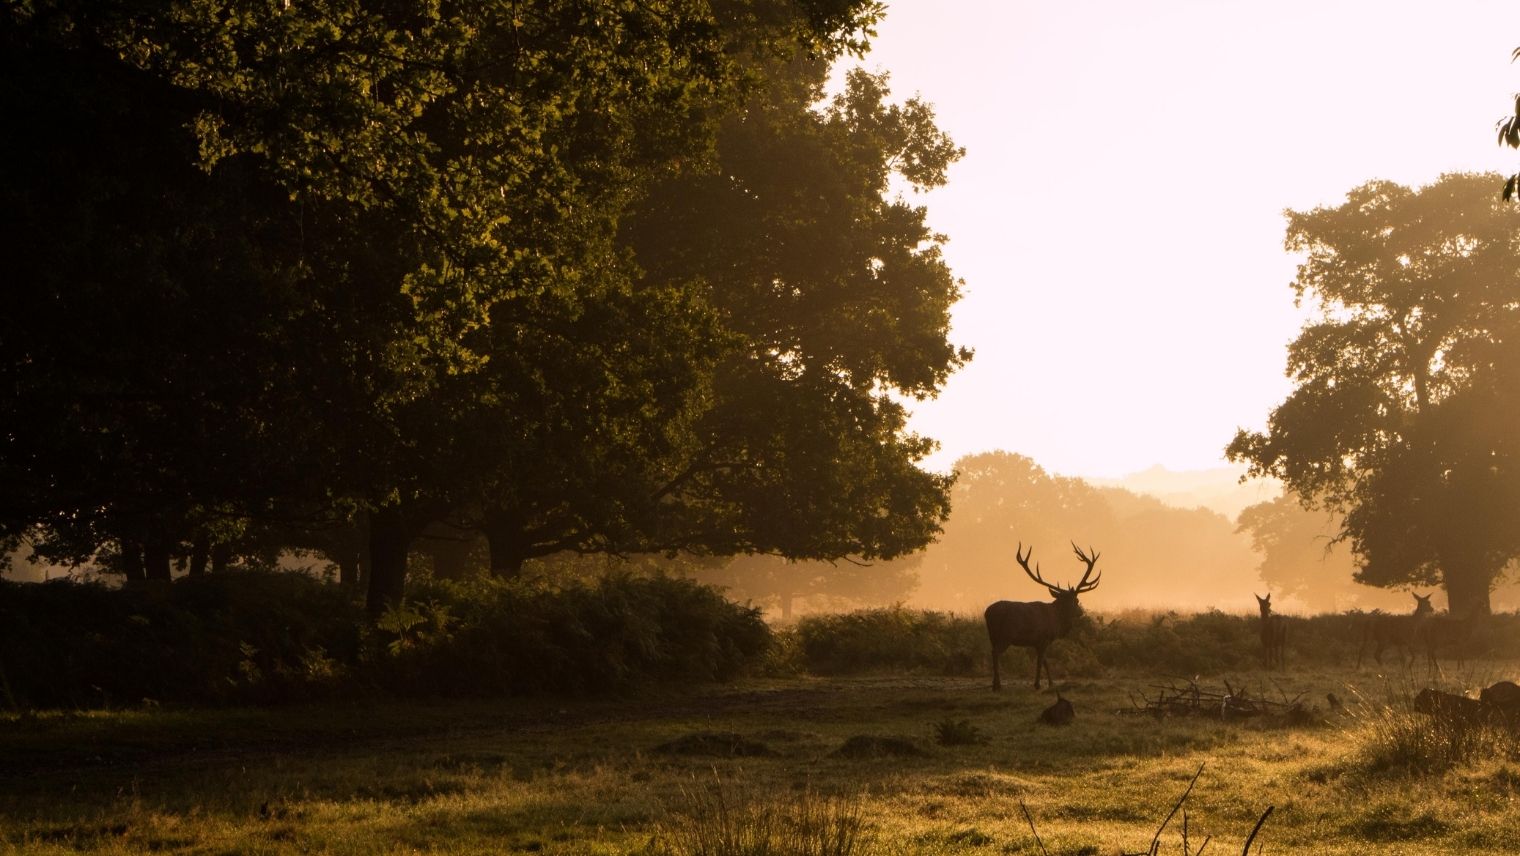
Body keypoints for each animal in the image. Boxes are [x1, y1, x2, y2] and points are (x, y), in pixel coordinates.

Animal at [985, 542, 1102, 691]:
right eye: (1077, 600)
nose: (1080, 612)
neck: (1056, 621)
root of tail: (987, 613)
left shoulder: (1038, 642)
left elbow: (1045, 661)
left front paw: (1051, 683)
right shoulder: (1044, 638)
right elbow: (1040, 661)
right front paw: (1037, 684)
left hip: (992, 636)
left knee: (992, 651)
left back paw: (994, 683)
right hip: (1006, 635)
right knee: (995, 653)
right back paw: (997, 685)